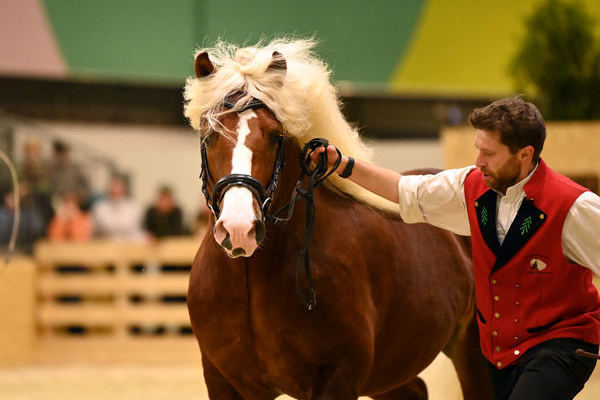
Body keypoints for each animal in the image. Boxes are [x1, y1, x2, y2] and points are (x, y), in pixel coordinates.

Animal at [184, 38, 492, 400]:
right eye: (209, 134)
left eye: (275, 136)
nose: (239, 229)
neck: (253, 277)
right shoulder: (224, 382)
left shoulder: (339, 378)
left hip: (474, 355)